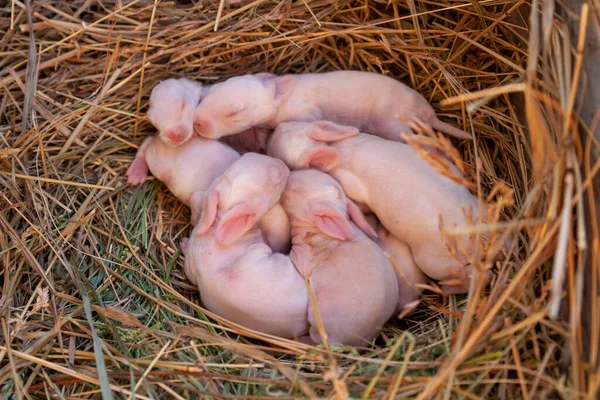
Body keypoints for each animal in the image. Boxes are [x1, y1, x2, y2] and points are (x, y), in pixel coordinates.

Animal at [195, 70, 472, 144]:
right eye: (212, 92)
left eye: (235, 112)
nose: (197, 123)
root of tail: (428, 114)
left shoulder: (304, 112)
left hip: (394, 123)